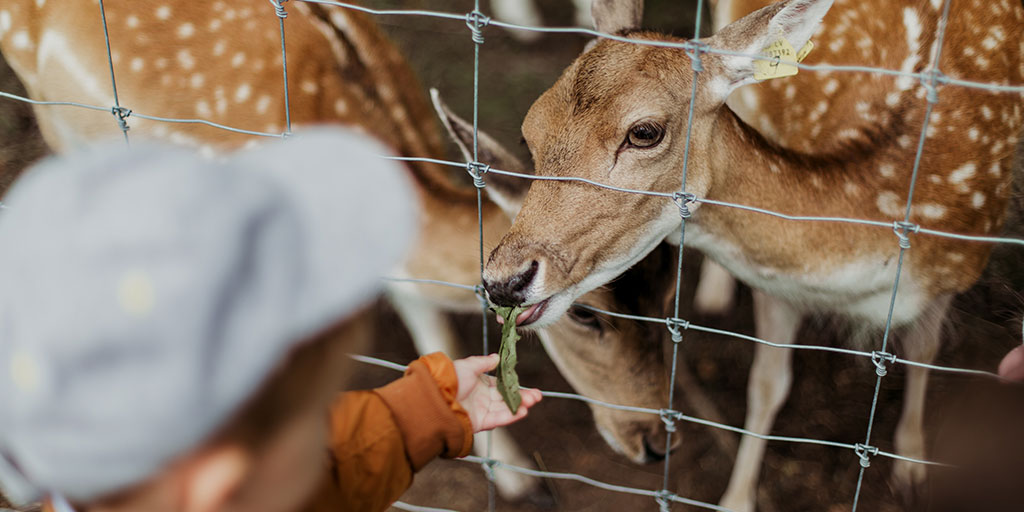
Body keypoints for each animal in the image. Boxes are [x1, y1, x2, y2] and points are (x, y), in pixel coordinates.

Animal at [479, 0, 1024, 507]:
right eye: (529, 132)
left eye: (644, 132)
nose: (504, 280)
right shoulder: (777, 283)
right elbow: (766, 385)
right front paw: (736, 500)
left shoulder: (958, 267)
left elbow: (924, 349)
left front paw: (911, 466)